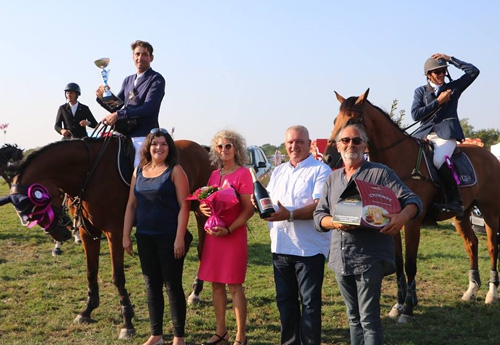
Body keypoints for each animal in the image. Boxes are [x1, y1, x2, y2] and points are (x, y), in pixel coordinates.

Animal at [0, 136, 212, 338]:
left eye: (36, 206)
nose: (62, 233)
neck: (89, 172)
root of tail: (202, 149)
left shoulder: (115, 232)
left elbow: (117, 276)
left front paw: (127, 322)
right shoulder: (88, 232)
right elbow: (91, 272)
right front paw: (87, 311)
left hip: (200, 211)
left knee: (201, 250)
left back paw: (195, 293)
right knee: (184, 241)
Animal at [322, 88, 498, 322]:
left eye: (352, 119)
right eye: (335, 120)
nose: (328, 158)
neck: (398, 160)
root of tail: (490, 156)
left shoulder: (412, 223)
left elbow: (410, 264)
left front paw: (407, 309)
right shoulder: (391, 224)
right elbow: (398, 263)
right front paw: (398, 305)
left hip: (490, 212)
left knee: (492, 247)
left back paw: (491, 293)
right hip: (461, 215)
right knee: (472, 244)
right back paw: (471, 290)